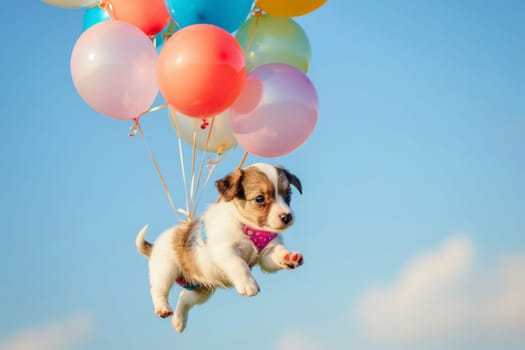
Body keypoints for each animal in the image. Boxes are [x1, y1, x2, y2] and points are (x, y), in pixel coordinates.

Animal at [136, 163, 302, 332]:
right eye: (259, 199)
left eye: (288, 194)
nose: (287, 217)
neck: (247, 226)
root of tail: (155, 245)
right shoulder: (225, 250)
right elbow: (239, 264)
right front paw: (248, 284)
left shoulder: (268, 253)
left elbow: (277, 255)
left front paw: (290, 257)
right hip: (165, 270)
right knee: (158, 290)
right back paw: (162, 308)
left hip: (201, 290)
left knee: (184, 298)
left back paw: (179, 321)